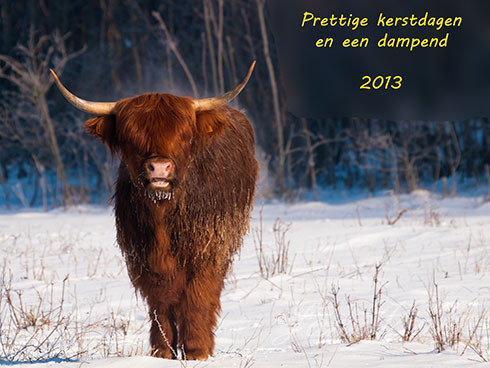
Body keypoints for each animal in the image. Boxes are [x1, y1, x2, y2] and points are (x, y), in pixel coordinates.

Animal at [48, 62, 260, 360]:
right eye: (130, 137)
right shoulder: (144, 259)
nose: (159, 167)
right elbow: (161, 304)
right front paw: (162, 351)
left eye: (184, 136)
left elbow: (197, 297)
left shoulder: (208, 251)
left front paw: (197, 350)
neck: (163, 216)